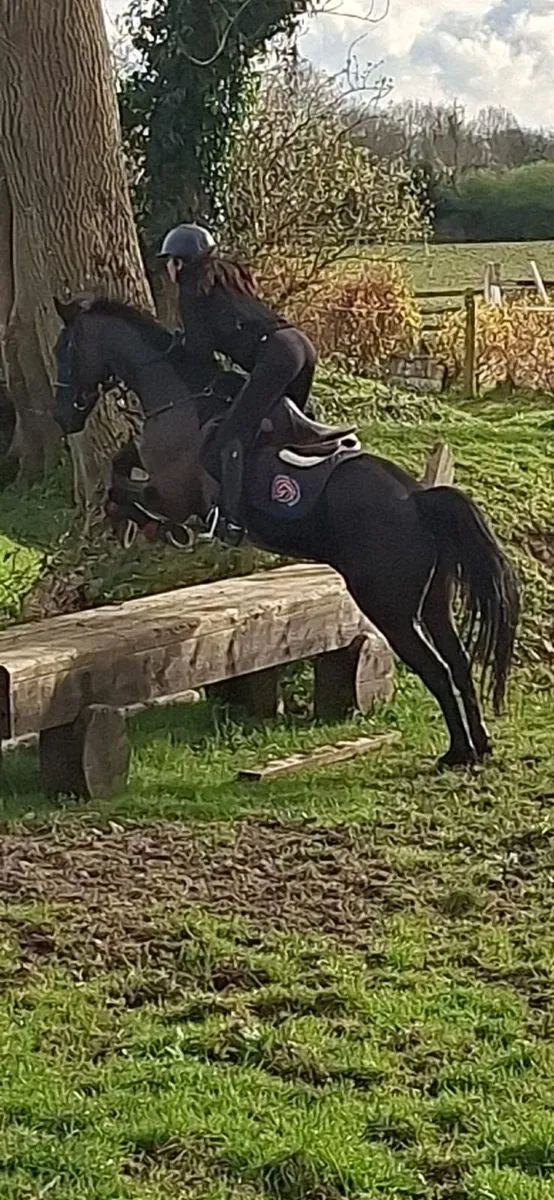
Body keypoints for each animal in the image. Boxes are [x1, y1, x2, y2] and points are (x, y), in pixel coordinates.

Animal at [52, 295, 520, 769]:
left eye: (64, 350)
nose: (61, 416)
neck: (178, 396)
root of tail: (418, 498)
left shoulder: (175, 493)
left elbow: (124, 484)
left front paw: (149, 525)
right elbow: (120, 463)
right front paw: (130, 522)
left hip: (391, 608)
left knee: (438, 670)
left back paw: (459, 752)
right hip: (433, 601)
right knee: (458, 663)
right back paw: (480, 744)